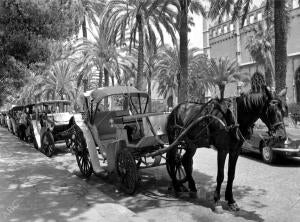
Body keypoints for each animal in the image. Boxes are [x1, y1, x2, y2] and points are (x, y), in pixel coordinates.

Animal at [150, 85, 286, 212]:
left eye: (284, 110)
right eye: (271, 110)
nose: (281, 136)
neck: (233, 117)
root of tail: (175, 109)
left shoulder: (235, 150)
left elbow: (231, 174)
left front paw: (231, 201)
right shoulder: (222, 150)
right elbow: (220, 175)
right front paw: (217, 201)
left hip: (191, 144)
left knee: (185, 161)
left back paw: (191, 187)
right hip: (174, 140)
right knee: (172, 160)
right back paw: (177, 186)